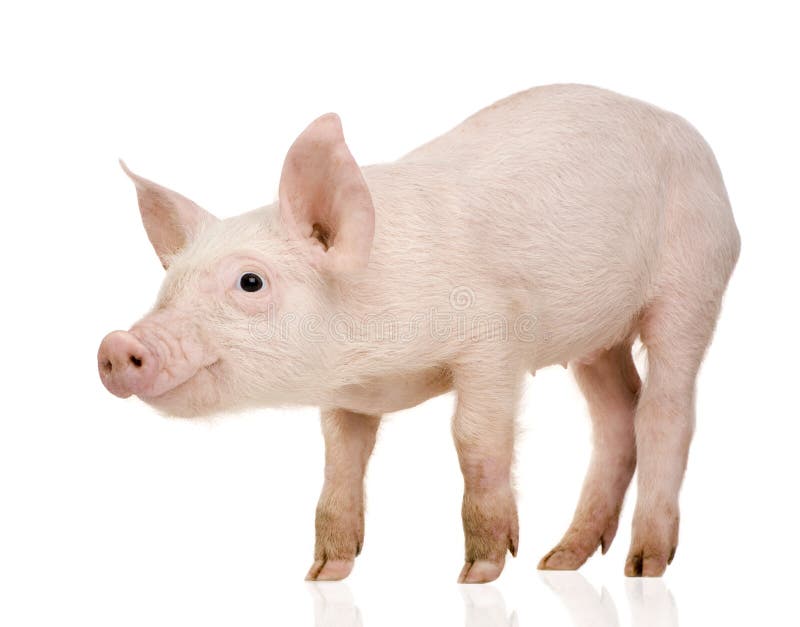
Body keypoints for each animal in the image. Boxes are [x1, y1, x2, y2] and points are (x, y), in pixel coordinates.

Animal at [100, 84, 744, 584]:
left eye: (250, 282)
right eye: (168, 287)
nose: (116, 345)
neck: (375, 362)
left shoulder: (493, 339)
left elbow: (474, 438)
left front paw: (479, 574)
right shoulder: (347, 394)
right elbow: (341, 458)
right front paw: (324, 573)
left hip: (694, 280)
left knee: (665, 410)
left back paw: (644, 566)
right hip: (596, 334)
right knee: (616, 413)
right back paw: (560, 561)